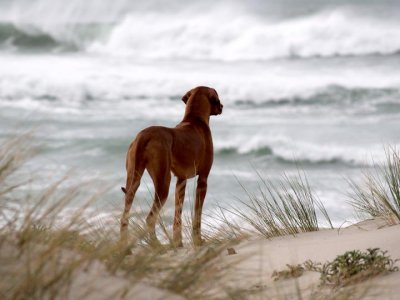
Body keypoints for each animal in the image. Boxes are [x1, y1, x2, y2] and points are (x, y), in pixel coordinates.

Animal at [120, 85, 223, 246]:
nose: (222, 107)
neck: (195, 120)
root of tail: (144, 135)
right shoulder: (203, 179)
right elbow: (197, 214)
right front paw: (197, 240)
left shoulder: (181, 180)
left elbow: (177, 215)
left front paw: (177, 242)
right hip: (163, 182)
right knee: (150, 218)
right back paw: (156, 245)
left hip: (133, 177)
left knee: (125, 213)